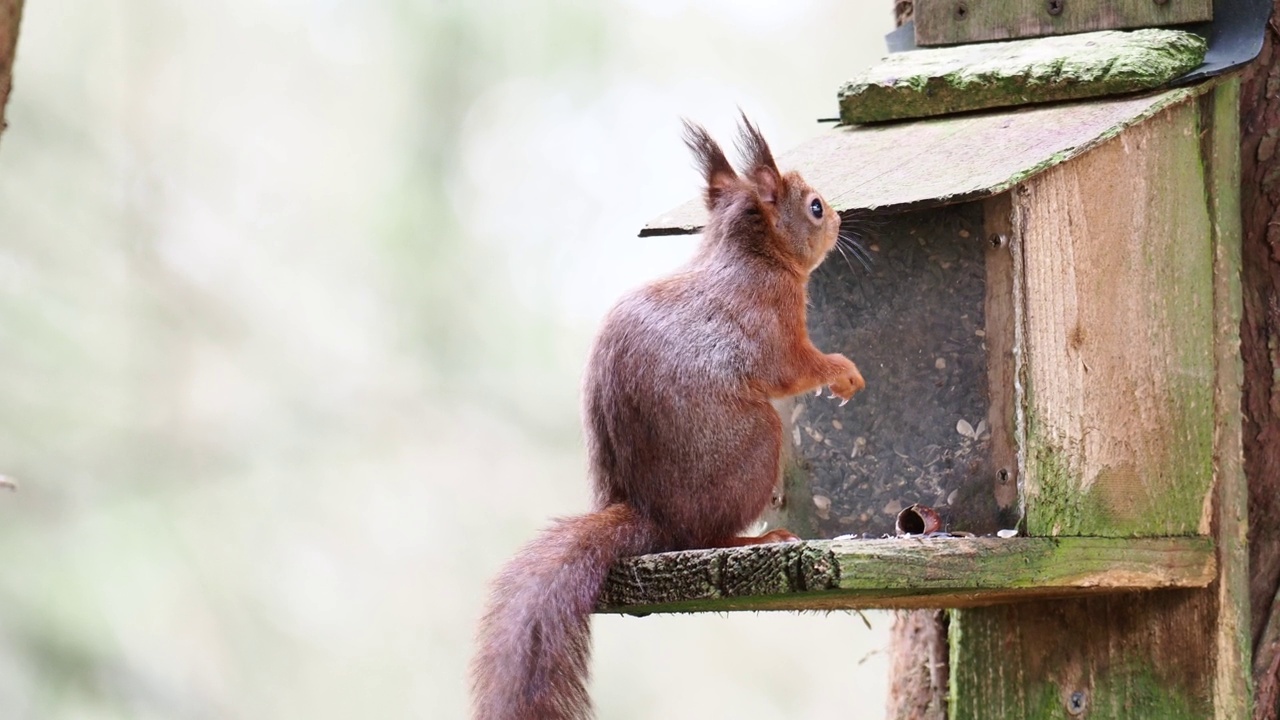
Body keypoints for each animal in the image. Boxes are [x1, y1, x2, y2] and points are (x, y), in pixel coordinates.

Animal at [473, 114, 870, 712]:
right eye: (816, 207)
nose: (843, 218)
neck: (751, 257)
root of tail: (649, 513)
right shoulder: (773, 322)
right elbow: (796, 368)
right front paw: (842, 371)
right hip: (757, 442)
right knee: (702, 536)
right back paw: (756, 539)